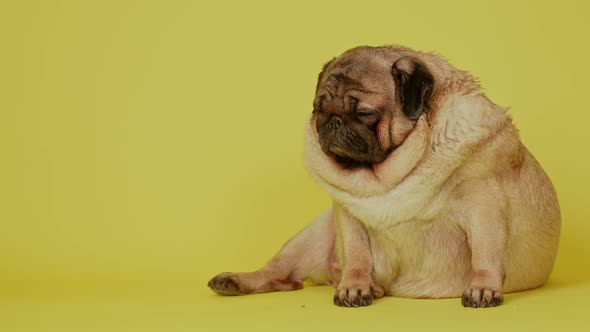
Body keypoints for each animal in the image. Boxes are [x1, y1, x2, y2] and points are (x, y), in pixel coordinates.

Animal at [209, 45, 564, 308]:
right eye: (320, 110)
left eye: (363, 112)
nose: (334, 120)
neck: (391, 175)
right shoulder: (348, 217)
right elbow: (356, 256)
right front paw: (354, 286)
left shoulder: (483, 207)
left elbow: (484, 254)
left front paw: (483, 288)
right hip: (311, 235)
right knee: (277, 273)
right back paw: (235, 281)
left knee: (288, 282)